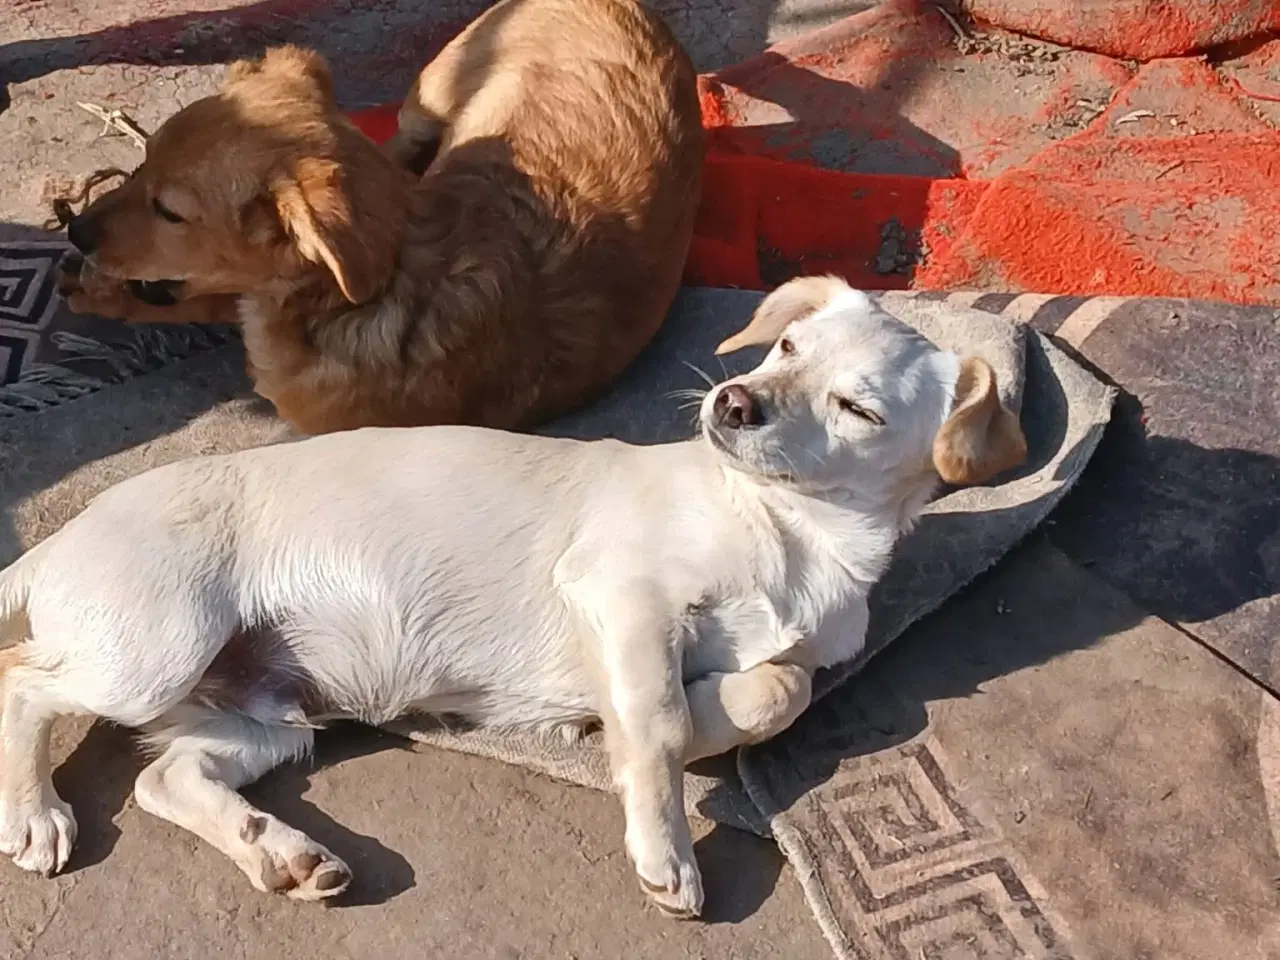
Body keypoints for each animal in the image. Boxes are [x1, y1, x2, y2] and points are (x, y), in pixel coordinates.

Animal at [0, 276, 1018, 916]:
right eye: (784, 347)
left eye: (859, 409)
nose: (732, 400)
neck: (789, 533)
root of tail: (59, 539)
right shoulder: (622, 593)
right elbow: (659, 721)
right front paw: (664, 841)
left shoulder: (774, 648)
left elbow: (778, 686)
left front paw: (677, 726)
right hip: (152, 649)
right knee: (23, 682)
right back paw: (35, 813)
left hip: (264, 718)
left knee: (165, 777)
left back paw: (282, 855)